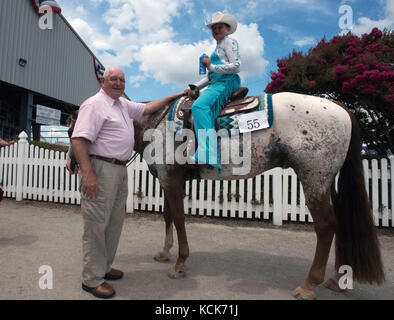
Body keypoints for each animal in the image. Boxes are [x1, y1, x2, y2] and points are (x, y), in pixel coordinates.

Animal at [132, 90, 384, 300]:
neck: (154, 123)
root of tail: (339, 107)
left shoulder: (172, 180)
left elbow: (179, 219)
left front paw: (180, 264)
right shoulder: (167, 180)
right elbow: (168, 216)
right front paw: (165, 252)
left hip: (314, 179)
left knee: (326, 226)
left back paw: (308, 285)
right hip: (326, 182)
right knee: (340, 222)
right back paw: (337, 279)